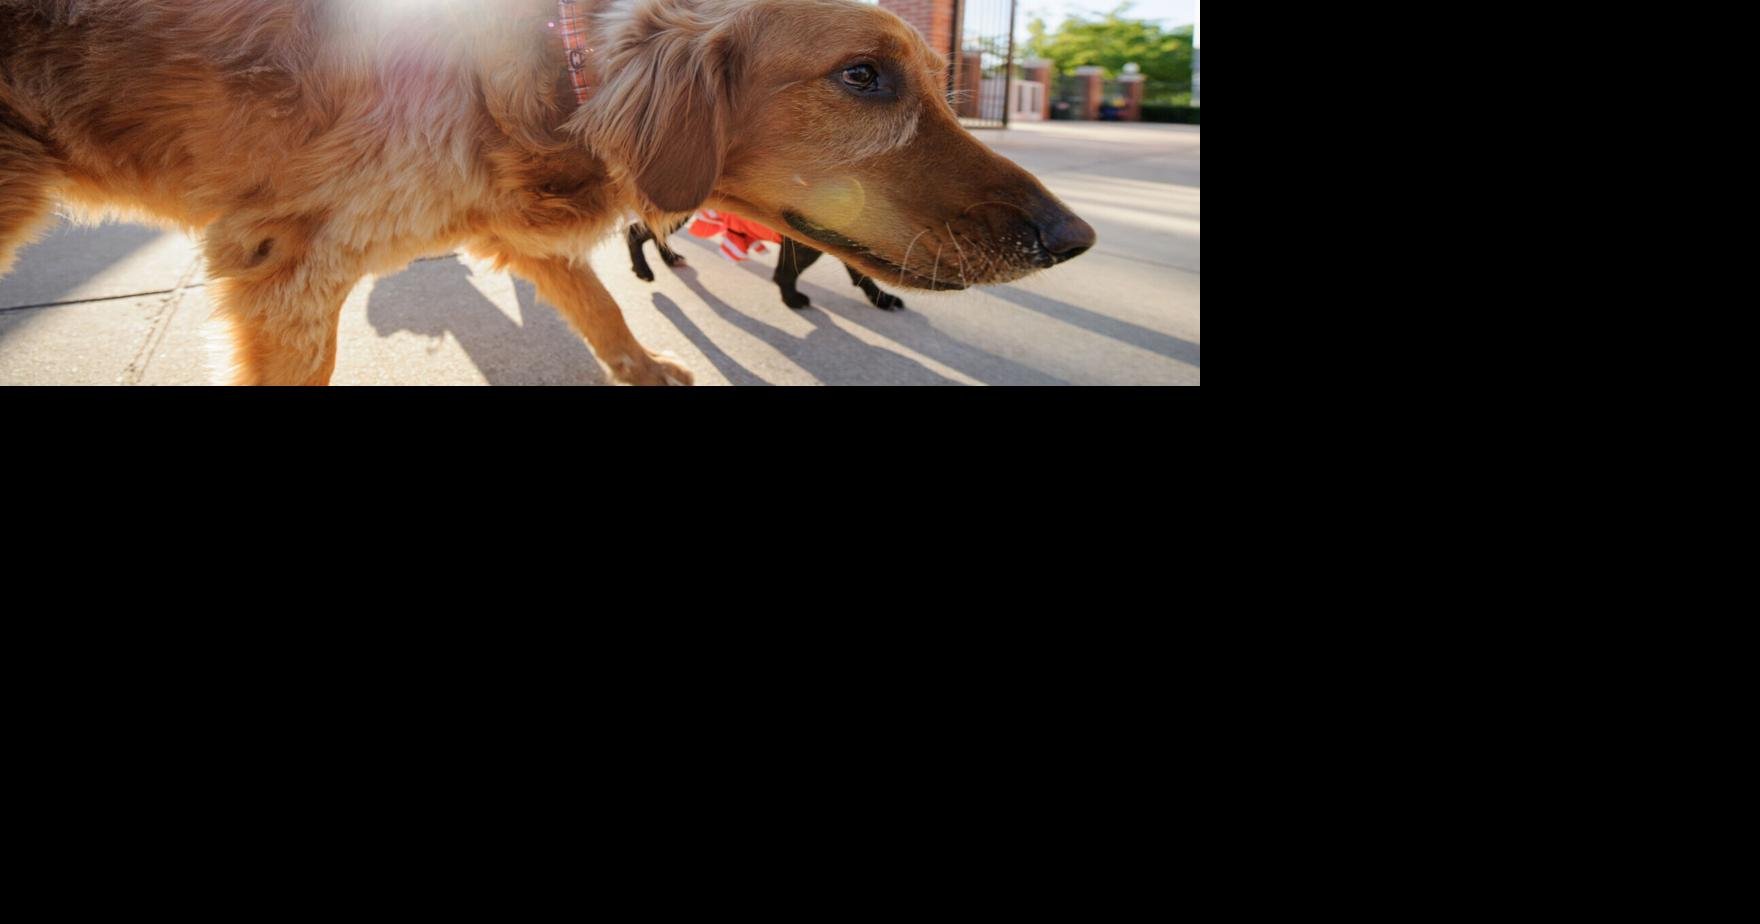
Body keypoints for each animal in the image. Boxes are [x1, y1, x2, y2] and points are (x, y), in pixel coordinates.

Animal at [3, 0, 1084, 383]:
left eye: (936, 78)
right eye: (862, 76)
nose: (1073, 239)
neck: (556, 74)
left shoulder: (515, 228)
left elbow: (600, 302)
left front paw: (643, 368)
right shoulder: (289, 272)